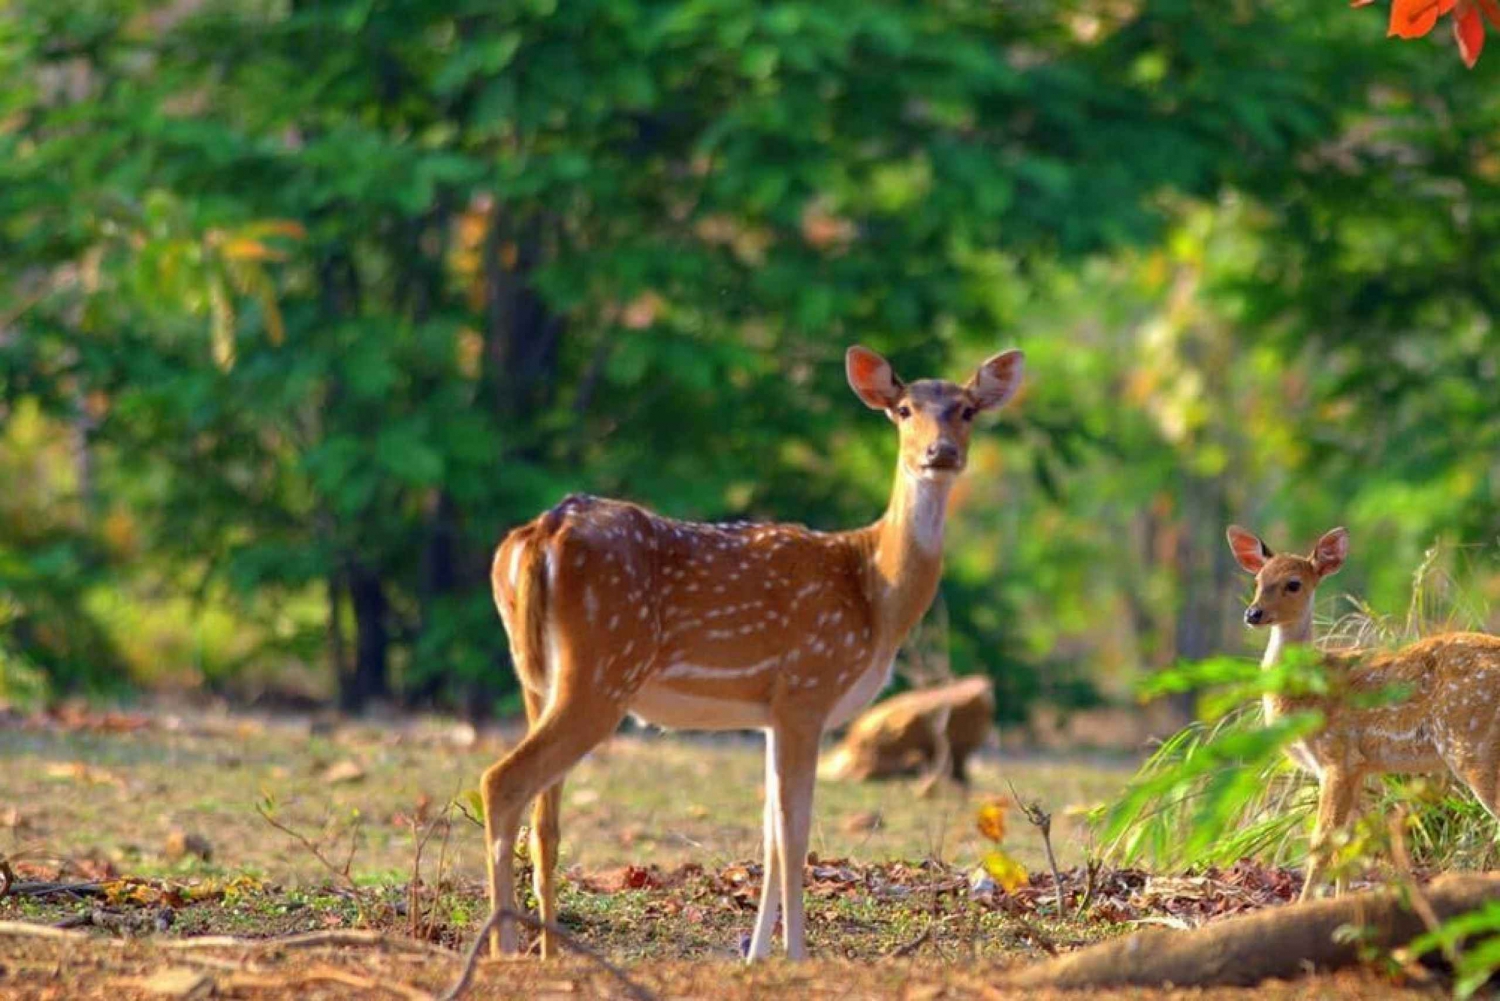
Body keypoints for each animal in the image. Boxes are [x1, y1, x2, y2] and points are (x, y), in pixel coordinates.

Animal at [486, 346, 1026, 960]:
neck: (876, 592)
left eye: (967, 410)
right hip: (603, 667)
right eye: (905, 409)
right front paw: (796, 956)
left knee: (543, 817)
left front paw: (756, 955)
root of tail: (539, 535)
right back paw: (502, 948)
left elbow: (768, 833)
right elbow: (793, 834)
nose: (941, 454)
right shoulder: (809, 686)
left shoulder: (771, 711)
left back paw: (546, 951)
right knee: (502, 783)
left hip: (536, 675)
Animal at [1224, 525, 1500, 900]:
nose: (1253, 614)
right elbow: (1347, 845)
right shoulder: (1358, 767)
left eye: (1293, 583)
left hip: (1472, 743)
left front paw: (1302, 902)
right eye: (1257, 581)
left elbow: (1322, 841)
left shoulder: (1337, 757)